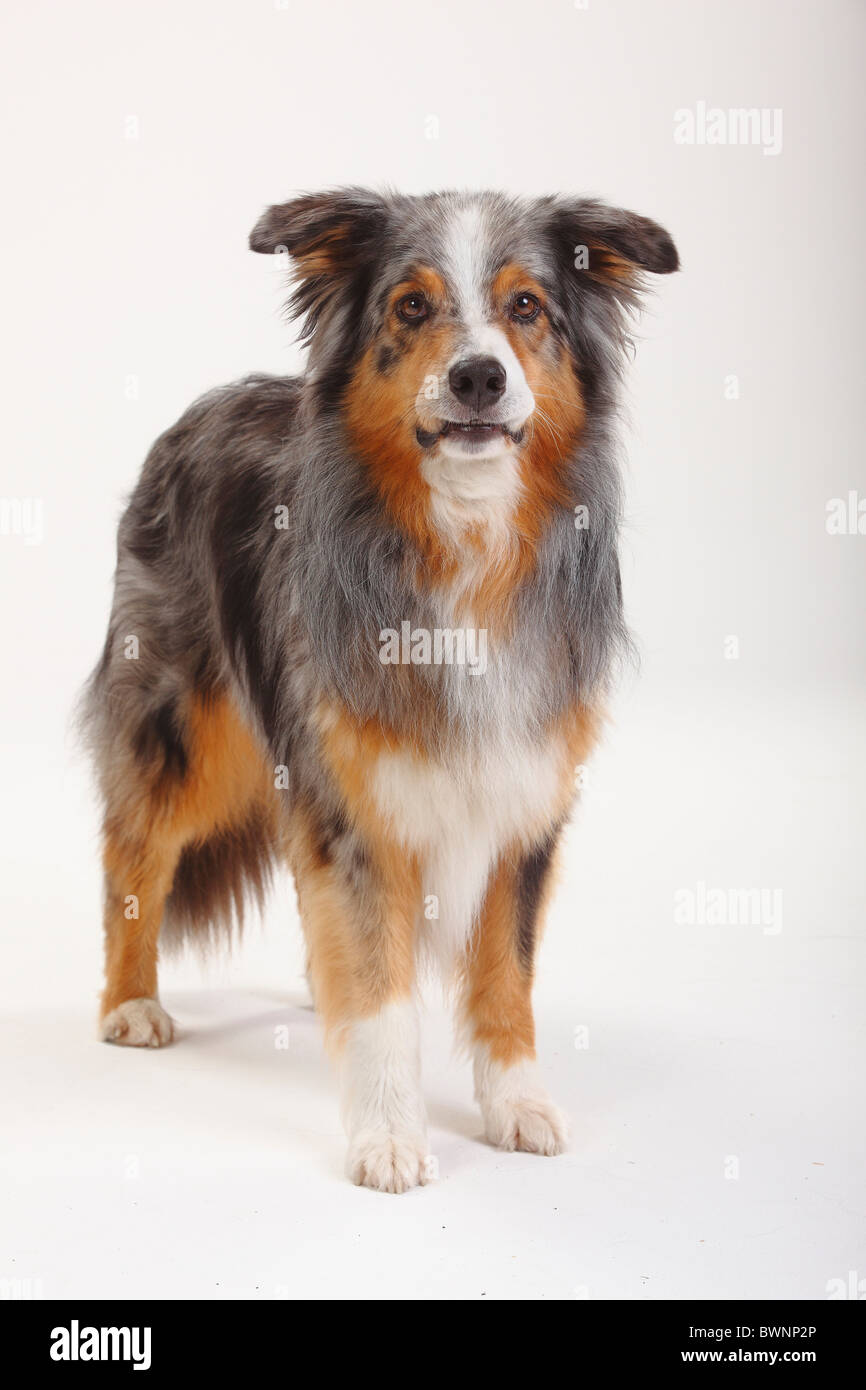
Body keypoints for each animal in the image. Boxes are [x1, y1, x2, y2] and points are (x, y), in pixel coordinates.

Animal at [83, 190, 678, 1195]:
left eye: (527, 308)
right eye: (411, 306)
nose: (479, 377)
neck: (466, 542)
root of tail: (202, 407)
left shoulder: (525, 799)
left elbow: (505, 974)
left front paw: (516, 1104)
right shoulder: (355, 805)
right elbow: (379, 990)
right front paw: (390, 1133)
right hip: (180, 728)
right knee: (134, 855)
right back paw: (130, 1005)